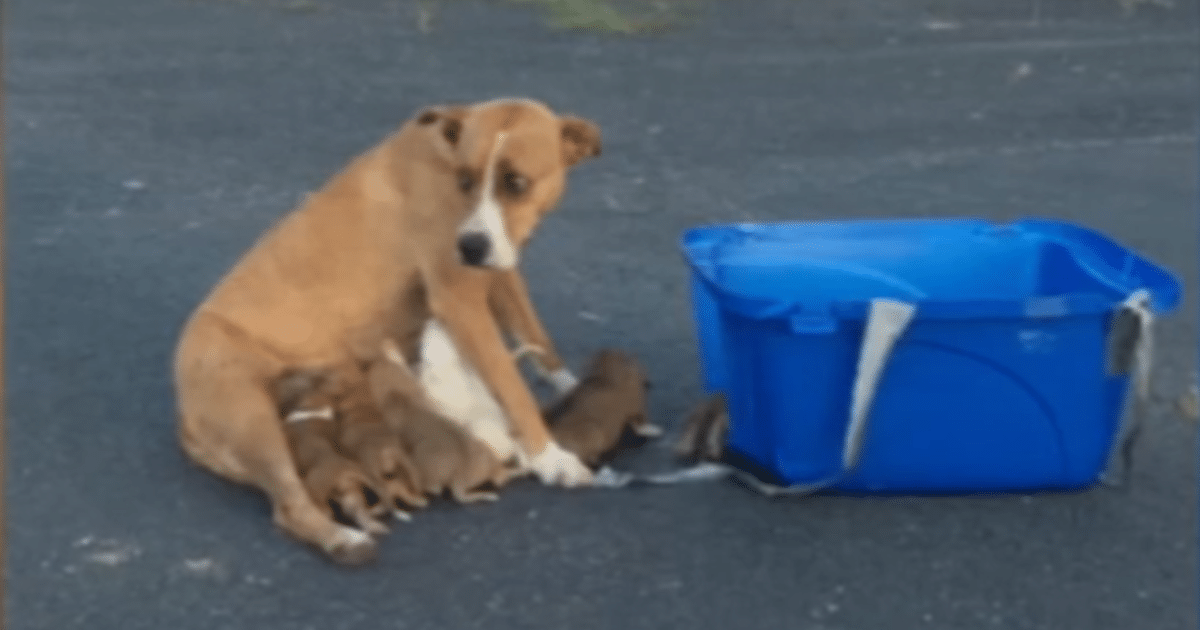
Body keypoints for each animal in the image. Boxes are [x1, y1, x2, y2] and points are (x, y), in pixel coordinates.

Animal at [267, 369, 388, 535]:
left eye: (295, 375)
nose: (279, 375)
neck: (318, 405)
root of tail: (345, 470)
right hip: (351, 496)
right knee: (359, 513)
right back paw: (375, 527)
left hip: (316, 493)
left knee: (324, 516)